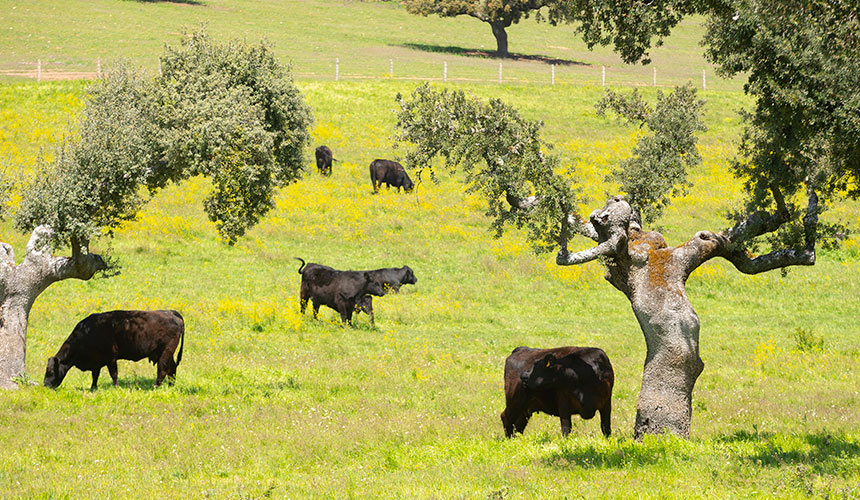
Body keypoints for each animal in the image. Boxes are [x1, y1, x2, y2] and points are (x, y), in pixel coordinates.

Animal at [43, 308, 185, 390]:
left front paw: (116, 387)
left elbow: (114, 374)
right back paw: (171, 385)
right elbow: (95, 375)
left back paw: (155, 386)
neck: (87, 332)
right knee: (172, 368)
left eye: (50, 371)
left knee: (162, 370)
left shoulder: (111, 358)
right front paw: (93, 388)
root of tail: (170, 312)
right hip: (166, 354)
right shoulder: (96, 361)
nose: (45, 385)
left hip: (165, 352)